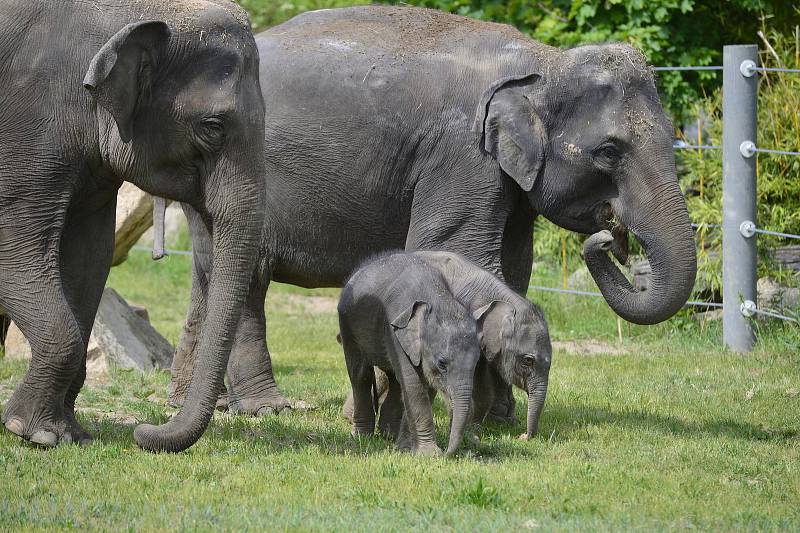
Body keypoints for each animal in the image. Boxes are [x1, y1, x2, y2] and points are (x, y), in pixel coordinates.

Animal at [0, 1, 268, 454]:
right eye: (212, 127)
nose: (145, 431)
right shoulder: (26, 121)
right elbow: (16, 244)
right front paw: (33, 433)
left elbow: (90, 253)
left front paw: (65, 433)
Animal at [169, 5, 692, 428]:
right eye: (608, 152)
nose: (610, 239)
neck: (544, 64)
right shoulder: (462, 155)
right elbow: (459, 252)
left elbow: (512, 268)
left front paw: (497, 416)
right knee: (248, 278)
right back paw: (266, 409)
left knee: (210, 272)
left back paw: (196, 402)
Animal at [338, 251, 482, 456]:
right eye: (442, 363)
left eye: (477, 363)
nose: (448, 454)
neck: (437, 298)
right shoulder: (395, 332)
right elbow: (414, 385)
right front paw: (430, 455)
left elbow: (425, 386)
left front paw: (406, 449)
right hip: (348, 325)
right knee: (361, 376)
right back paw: (362, 437)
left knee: (394, 380)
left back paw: (389, 435)